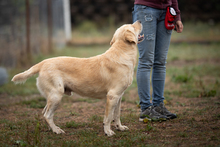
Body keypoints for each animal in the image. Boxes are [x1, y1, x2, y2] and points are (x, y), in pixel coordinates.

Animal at [11, 20, 143, 137]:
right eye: (133, 26)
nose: (140, 20)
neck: (122, 53)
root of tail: (42, 63)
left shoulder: (119, 96)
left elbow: (117, 115)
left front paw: (119, 127)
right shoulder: (112, 96)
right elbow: (108, 117)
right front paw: (108, 132)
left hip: (52, 97)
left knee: (45, 113)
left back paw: (52, 129)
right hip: (56, 95)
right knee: (47, 115)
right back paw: (56, 130)